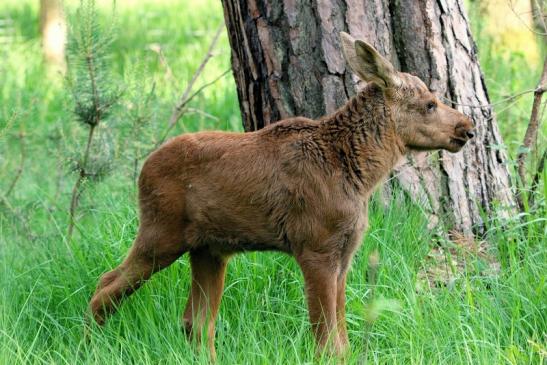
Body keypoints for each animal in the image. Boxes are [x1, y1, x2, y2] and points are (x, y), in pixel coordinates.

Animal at [90, 32, 476, 356]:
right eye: (429, 104)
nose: (468, 128)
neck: (360, 175)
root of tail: (142, 171)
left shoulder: (345, 254)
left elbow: (343, 339)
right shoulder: (315, 248)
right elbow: (327, 341)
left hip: (209, 250)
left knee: (196, 323)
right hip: (161, 234)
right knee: (105, 287)